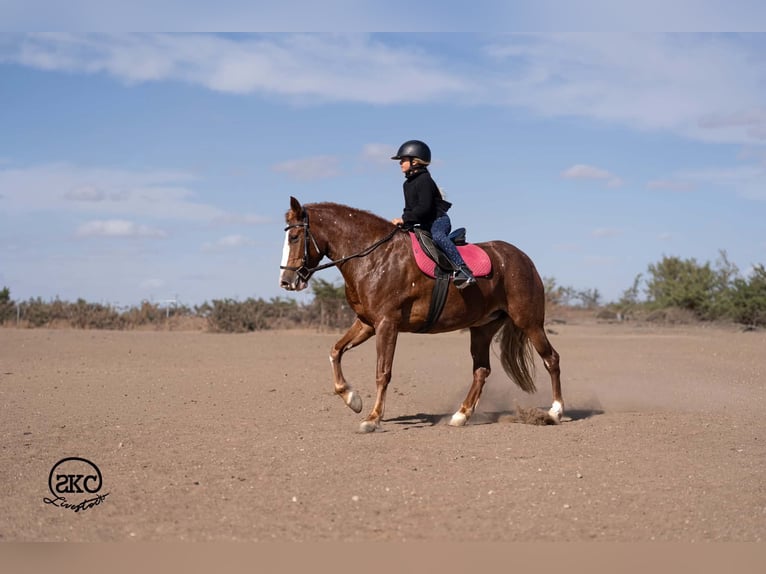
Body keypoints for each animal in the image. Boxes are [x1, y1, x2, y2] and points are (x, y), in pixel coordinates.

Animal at [279, 196, 563, 433]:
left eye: (294, 237)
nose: (286, 281)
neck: (374, 256)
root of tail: (523, 259)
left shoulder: (387, 324)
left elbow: (383, 372)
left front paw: (372, 418)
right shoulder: (367, 323)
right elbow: (336, 351)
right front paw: (353, 399)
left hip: (529, 322)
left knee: (551, 359)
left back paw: (555, 412)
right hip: (482, 328)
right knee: (481, 371)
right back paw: (461, 415)